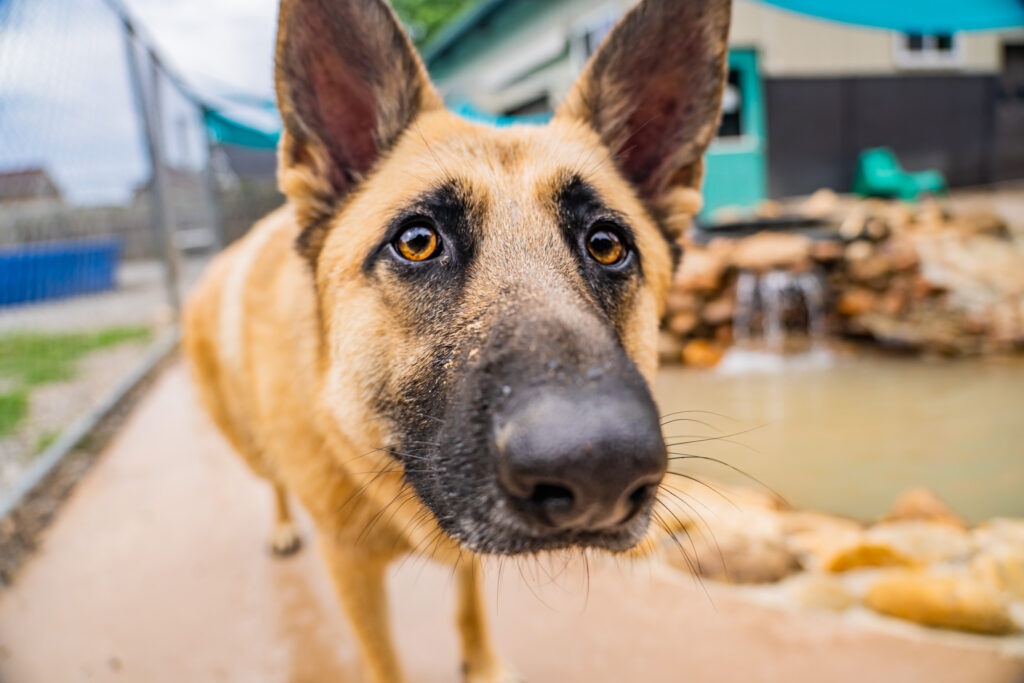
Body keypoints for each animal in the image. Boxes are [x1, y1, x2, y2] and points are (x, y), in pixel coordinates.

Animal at [184, 0, 729, 679]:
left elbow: (469, 604)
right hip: (248, 444)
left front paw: (483, 663)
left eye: (607, 244)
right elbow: (383, 660)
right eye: (417, 241)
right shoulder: (350, 567)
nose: (599, 471)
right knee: (273, 480)